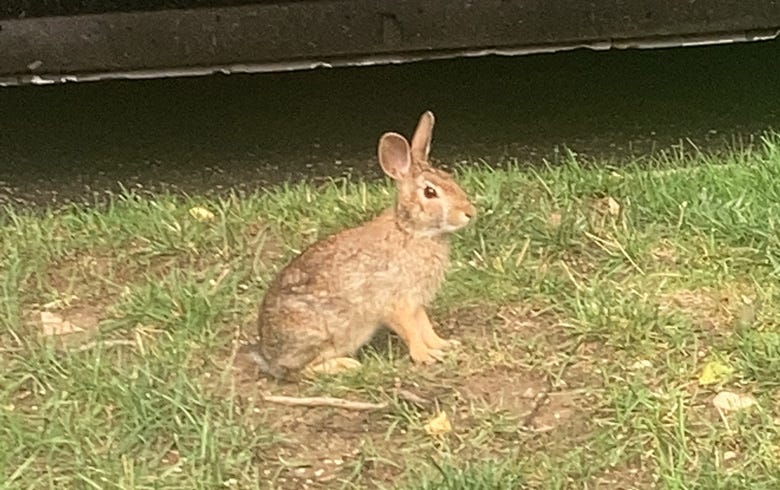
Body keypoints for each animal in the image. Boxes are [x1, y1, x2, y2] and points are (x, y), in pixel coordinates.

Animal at [251, 110, 476, 381]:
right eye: (430, 193)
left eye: (450, 179)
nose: (470, 213)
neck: (411, 231)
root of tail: (268, 356)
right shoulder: (396, 302)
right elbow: (411, 331)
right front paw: (426, 356)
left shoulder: (416, 302)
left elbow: (425, 326)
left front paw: (444, 345)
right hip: (322, 334)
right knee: (299, 371)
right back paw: (346, 365)